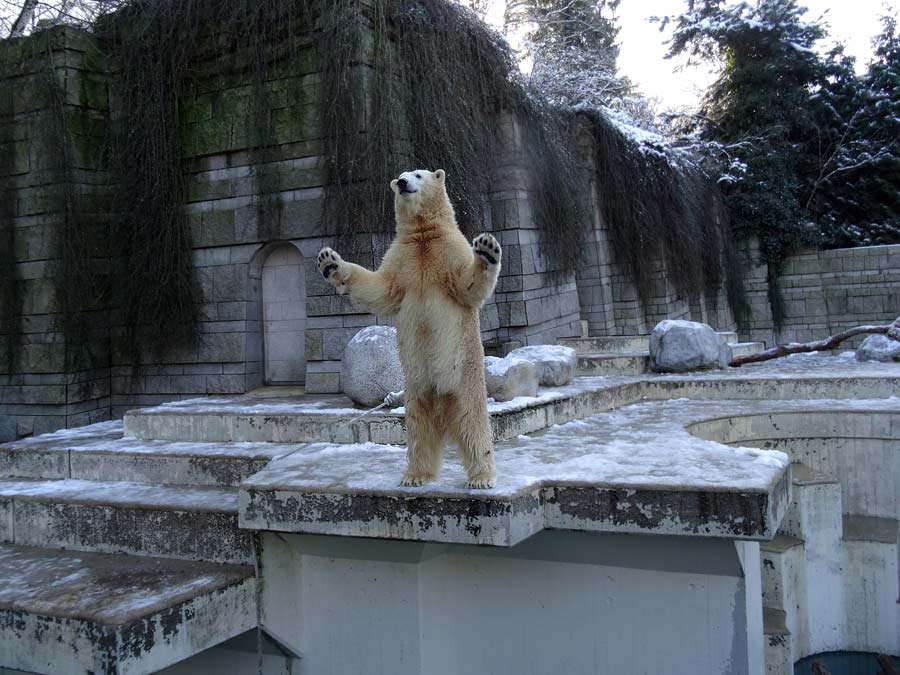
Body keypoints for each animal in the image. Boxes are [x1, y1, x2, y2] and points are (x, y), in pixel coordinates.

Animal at [316, 167, 500, 488]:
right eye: (399, 176)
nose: (402, 183)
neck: (424, 237)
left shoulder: (449, 249)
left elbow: (467, 285)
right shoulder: (403, 258)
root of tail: (443, 410)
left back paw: (481, 476)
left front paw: (487, 250)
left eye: (418, 174)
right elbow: (380, 288)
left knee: (473, 423)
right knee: (418, 430)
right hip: (415, 389)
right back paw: (415, 475)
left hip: (464, 379)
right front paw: (330, 263)